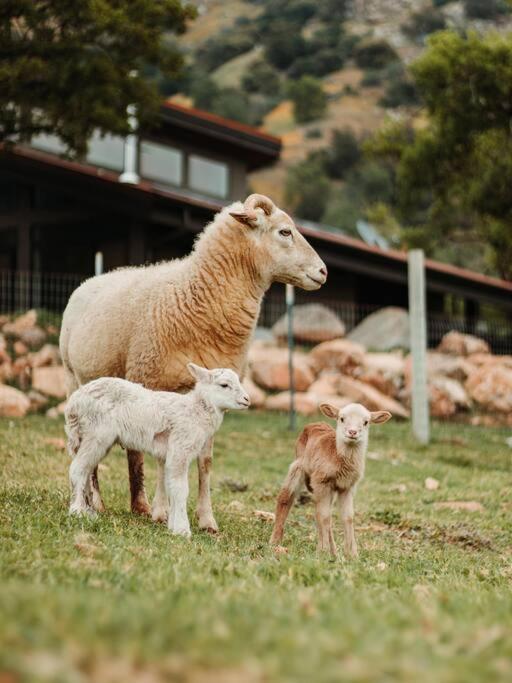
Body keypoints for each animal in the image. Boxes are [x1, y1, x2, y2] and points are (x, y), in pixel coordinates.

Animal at [65, 366, 250, 536]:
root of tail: (73, 403)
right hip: (96, 434)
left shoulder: (173, 454)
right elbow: (181, 489)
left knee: (86, 471)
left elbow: (172, 487)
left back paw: (87, 510)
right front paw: (182, 530)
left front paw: (173, 526)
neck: (196, 411)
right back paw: (77, 512)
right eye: (224, 385)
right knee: (77, 469)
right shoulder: (180, 448)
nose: (247, 400)